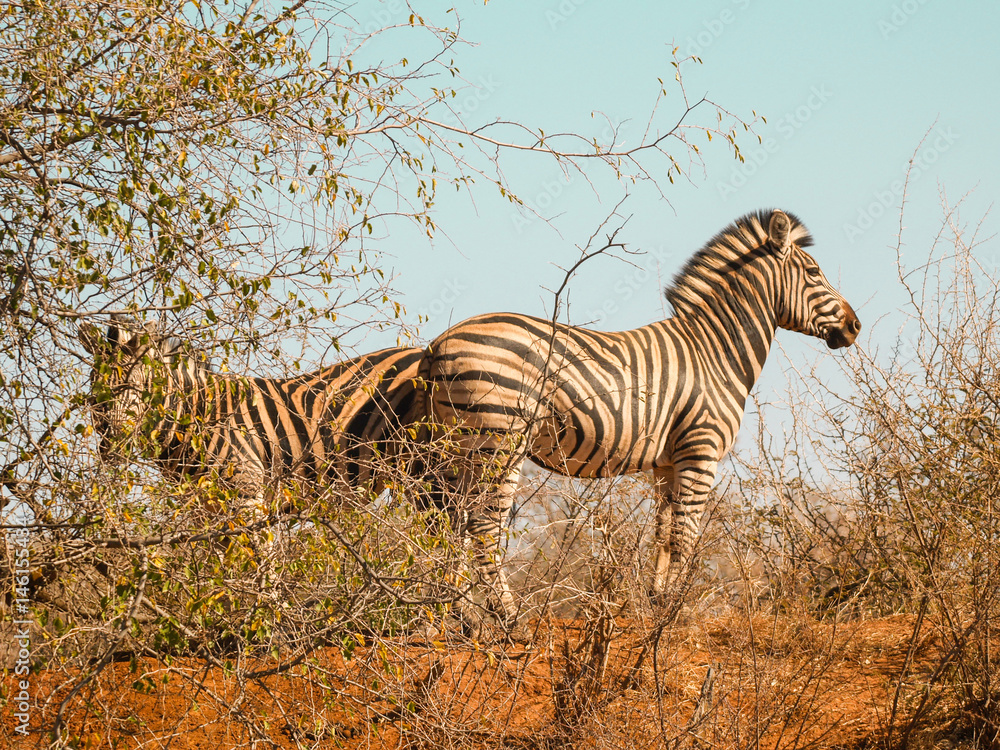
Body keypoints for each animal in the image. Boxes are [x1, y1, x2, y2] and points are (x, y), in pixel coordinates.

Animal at [423, 209, 861, 622]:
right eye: (814, 273)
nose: (855, 326)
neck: (715, 352)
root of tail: (438, 343)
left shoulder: (667, 463)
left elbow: (663, 535)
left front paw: (657, 604)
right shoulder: (701, 452)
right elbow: (685, 537)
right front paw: (675, 612)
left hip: (457, 450)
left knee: (449, 523)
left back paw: (459, 617)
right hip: (499, 443)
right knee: (482, 527)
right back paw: (506, 617)